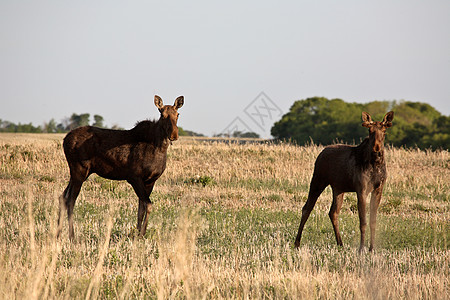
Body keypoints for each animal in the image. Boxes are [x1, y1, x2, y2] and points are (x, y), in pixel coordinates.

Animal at [58, 95, 185, 240]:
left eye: (178, 114)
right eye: (162, 115)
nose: (174, 135)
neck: (159, 148)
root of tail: (64, 140)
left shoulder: (150, 180)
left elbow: (141, 208)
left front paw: (137, 235)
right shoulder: (134, 177)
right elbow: (148, 205)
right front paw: (141, 234)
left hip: (79, 173)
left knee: (63, 197)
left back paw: (57, 234)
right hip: (79, 170)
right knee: (71, 200)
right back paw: (72, 237)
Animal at [294, 111, 392, 252]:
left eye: (384, 131)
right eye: (370, 131)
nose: (376, 151)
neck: (375, 164)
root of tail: (321, 153)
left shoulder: (379, 188)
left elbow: (373, 221)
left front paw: (372, 248)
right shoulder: (361, 189)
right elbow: (363, 222)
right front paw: (361, 248)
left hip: (338, 188)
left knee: (333, 212)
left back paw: (340, 243)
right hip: (318, 180)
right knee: (307, 208)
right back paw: (297, 243)